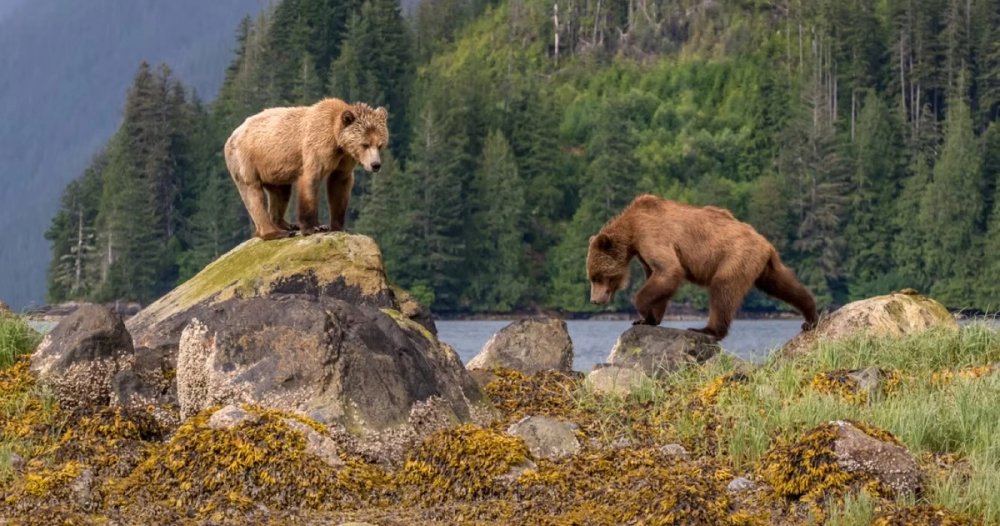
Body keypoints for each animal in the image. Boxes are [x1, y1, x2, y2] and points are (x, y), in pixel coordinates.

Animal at [224, 98, 389, 240]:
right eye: (365, 144)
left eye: (380, 144)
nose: (375, 164)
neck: (338, 142)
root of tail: (232, 135)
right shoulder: (317, 146)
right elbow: (310, 180)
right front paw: (312, 227)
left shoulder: (345, 160)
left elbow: (339, 185)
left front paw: (337, 226)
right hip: (247, 160)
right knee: (253, 194)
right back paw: (274, 232)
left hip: (274, 170)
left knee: (281, 193)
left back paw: (287, 225)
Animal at [587, 194, 819, 340]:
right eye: (592, 277)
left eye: (597, 276)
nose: (594, 300)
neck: (632, 230)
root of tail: (765, 243)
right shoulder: (643, 252)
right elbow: (659, 277)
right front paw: (648, 320)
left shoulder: (651, 235)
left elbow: (669, 270)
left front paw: (642, 311)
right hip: (762, 264)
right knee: (783, 285)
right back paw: (810, 317)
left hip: (735, 256)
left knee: (723, 289)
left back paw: (707, 329)